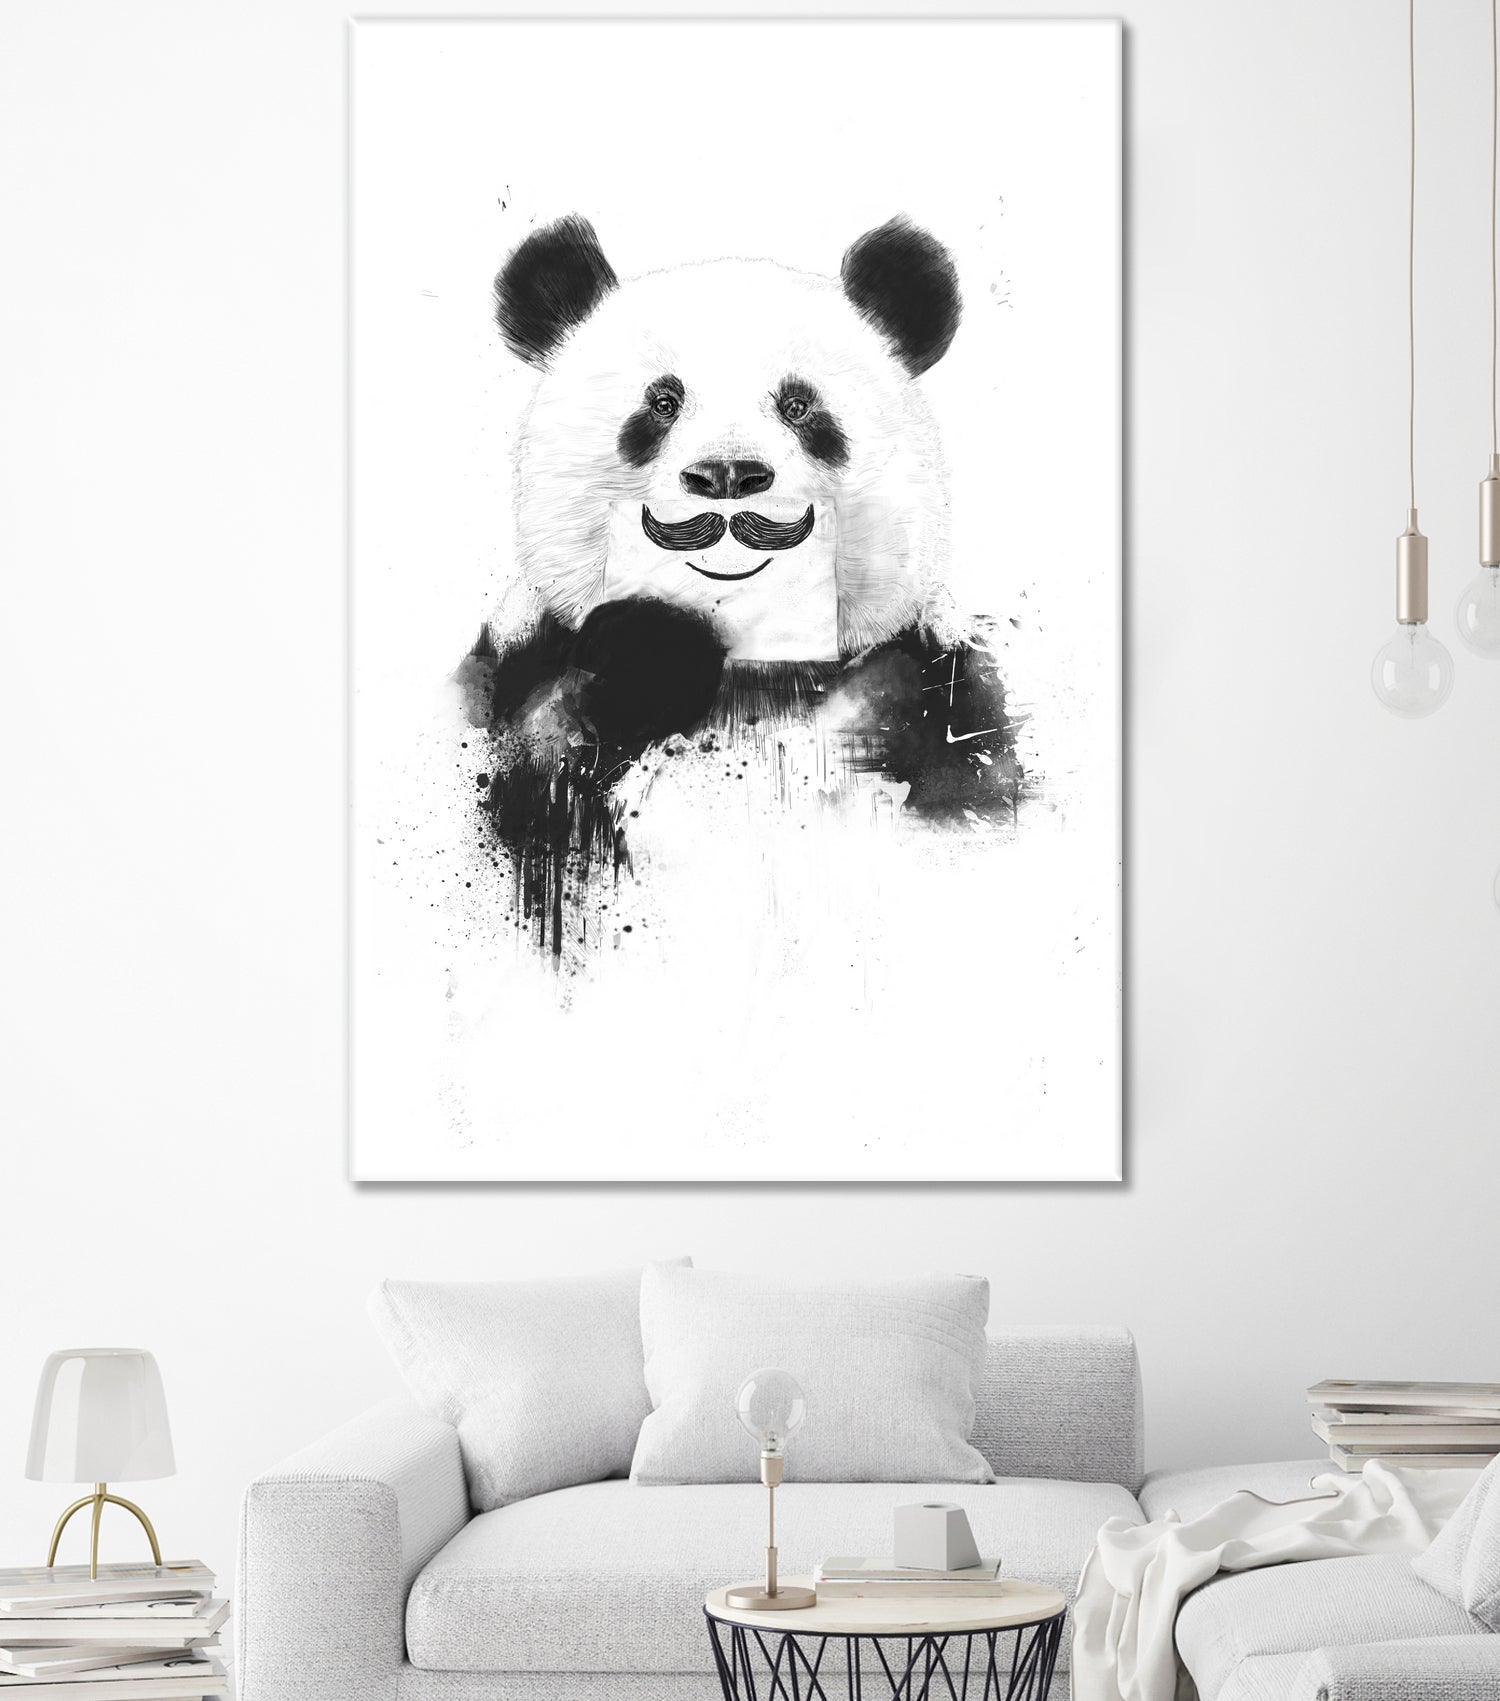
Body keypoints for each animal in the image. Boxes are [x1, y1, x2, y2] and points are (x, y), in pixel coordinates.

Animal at [455, 213, 1023, 959]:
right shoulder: (515, 674)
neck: (750, 671)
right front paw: (649, 651)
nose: (727, 475)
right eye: (662, 402)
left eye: (799, 404)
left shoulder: (930, 682)